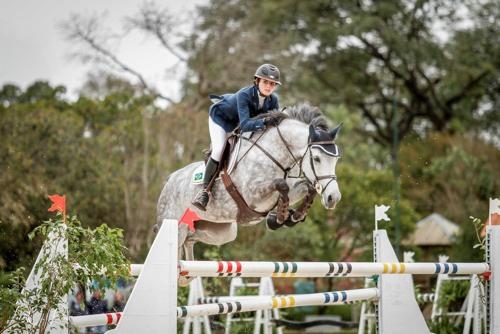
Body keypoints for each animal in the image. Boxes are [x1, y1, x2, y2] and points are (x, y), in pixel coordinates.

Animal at [158, 103, 342, 284]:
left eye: (336, 159)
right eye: (317, 159)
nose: (333, 198)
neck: (274, 154)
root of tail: (169, 179)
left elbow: (306, 187)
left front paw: (293, 216)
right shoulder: (252, 193)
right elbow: (281, 185)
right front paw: (280, 217)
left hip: (222, 232)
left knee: (190, 239)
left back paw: (186, 273)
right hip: (174, 223)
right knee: (178, 240)